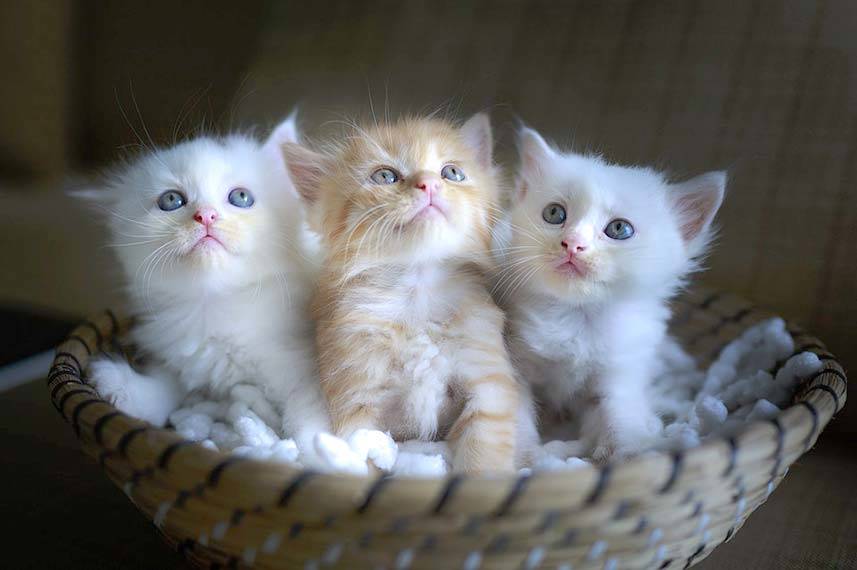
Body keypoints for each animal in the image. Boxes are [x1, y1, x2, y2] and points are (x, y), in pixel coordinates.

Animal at [82, 116, 332, 452]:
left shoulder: (306, 366)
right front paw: (128, 389)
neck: (216, 307)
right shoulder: (179, 360)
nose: (206, 216)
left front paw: (317, 449)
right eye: (171, 200)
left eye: (241, 197)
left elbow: (307, 411)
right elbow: (166, 387)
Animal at [284, 114, 528, 470]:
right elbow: (366, 451)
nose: (429, 184)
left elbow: (484, 454)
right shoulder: (356, 400)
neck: (417, 291)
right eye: (385, 175)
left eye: (451, 172)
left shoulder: (487, 385)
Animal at [494, 126, 724, 460]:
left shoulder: (620, 371)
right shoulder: (515, 364)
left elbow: (620, 413)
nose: (572, 243)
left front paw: (630, 452)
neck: (577, 316)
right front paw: (525, 456)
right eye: (554, 213)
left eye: (619, 229)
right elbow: (517, 412)